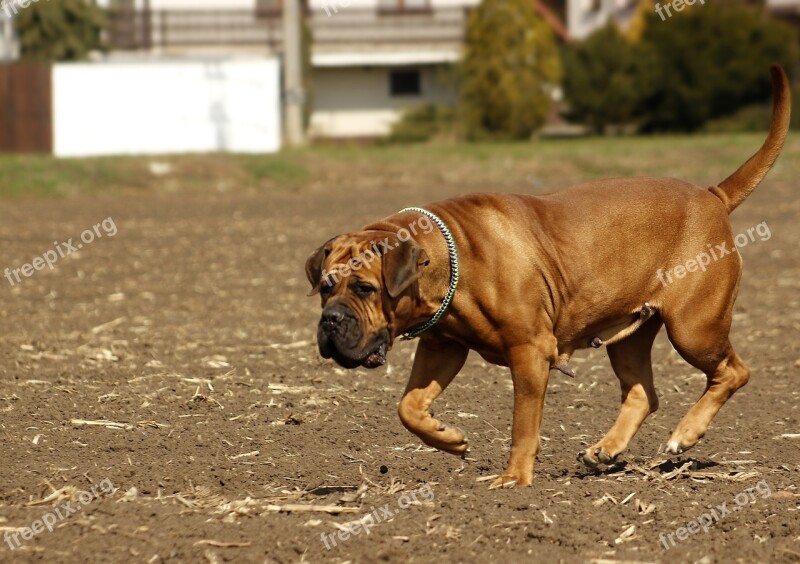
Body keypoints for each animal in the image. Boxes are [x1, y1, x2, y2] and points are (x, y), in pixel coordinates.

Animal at [308, 66, 792, 486]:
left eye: (365, 288)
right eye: (325, 289)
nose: (330, 320)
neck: (450, 260)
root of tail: (713, 197)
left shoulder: (529, 352)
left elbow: (523, 424)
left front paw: (513, 479)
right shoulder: (443, 346)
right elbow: (407, 406)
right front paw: (449, 438)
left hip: (694, 327)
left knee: (734, 371)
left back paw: (685, 434)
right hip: (632, 336)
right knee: (643, 393)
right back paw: (605, 449)